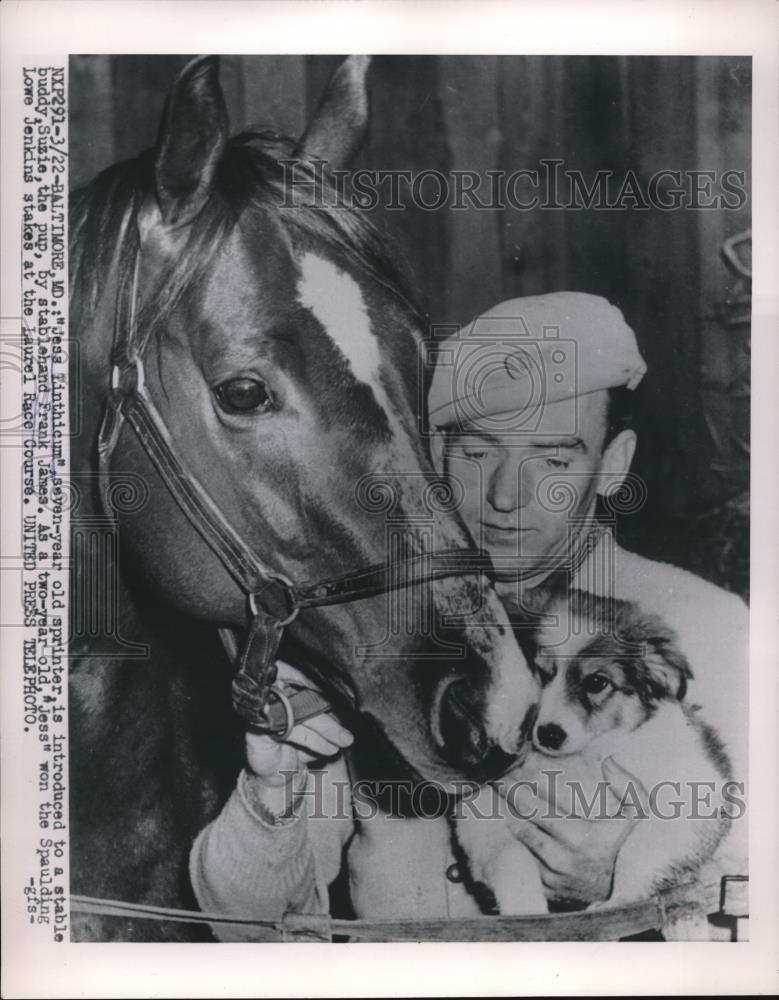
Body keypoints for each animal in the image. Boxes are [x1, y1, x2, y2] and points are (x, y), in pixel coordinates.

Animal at [454, 588, 736, 916]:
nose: (549, 734)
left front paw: (618, 901)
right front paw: (524, 910)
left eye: (597, 682)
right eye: (538, 672)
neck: (579, 759)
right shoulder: (481, 812)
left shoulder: (692, 792)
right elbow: (510, 858)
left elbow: (636, 849)